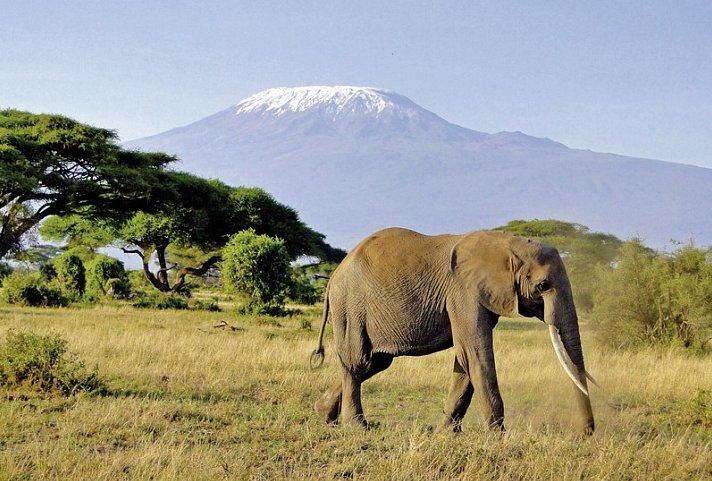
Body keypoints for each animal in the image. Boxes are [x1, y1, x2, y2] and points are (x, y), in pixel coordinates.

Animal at [312, 227, 596, 434]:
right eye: (542, 286)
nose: (586, 434)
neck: (507, 243)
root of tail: (334, 274)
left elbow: (465, 360)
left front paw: (446, 434)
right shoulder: (463, 292)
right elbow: (476, 354)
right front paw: (497, 436)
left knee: (376, 362)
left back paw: (324, 414)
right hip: (349, 305)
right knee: (357, 361)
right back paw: (357, 427)